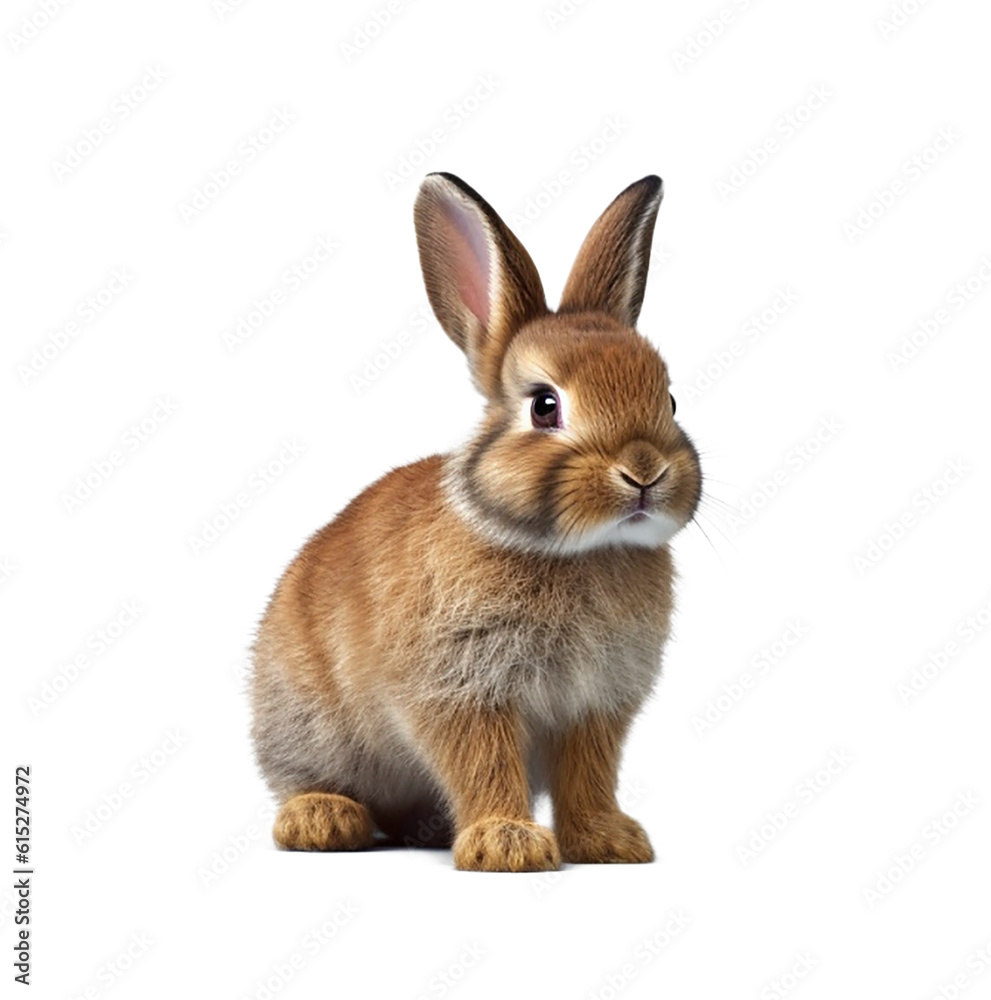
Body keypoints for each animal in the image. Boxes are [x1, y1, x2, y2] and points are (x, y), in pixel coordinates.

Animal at [250, 172, 702, 872]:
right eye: (544, 406)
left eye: (670, 399)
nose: (645, 472)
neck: (572, 550)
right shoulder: (462, 691)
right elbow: (482, 761)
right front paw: (507, 845)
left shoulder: (596, 705)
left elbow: (589, 773)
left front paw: (609, 842)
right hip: (307, 724)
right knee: (307, 782)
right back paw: (322, 820)